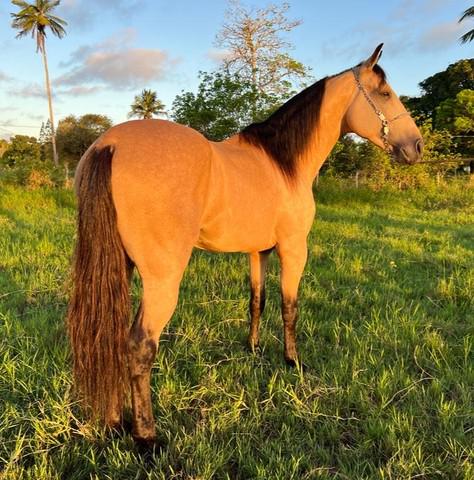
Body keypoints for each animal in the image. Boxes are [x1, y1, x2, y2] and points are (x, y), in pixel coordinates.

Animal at [66, 45, 422, 446]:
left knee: (110, 339)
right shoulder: (293, 249)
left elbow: (257, 300)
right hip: (162, 280)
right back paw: (147, 437)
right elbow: (289, 307)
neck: (283, 164)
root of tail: (109, 145)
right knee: (140, 347)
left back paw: (113, 422)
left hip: (118, 269)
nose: (416, 146)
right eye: (385, 93)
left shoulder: (258, 251)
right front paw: (292, 361)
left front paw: (253, 348)